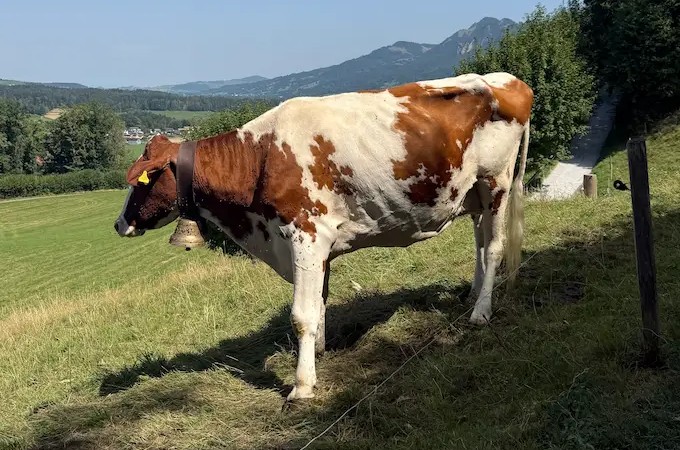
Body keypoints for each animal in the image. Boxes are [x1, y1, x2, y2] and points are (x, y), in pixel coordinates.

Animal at [114, 72, 533, 401]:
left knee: (494, 248)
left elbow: (302, 314)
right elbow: (318, 305)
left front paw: (302, 385)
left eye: (141, 182)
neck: (261, 156)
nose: (119, 224)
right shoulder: (314, 246)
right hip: (473, 193)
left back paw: (481, 312)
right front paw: (319, 354)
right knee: (480, 243)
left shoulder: (306, 234)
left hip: (496, 182)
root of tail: (507, 79)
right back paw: (471, 297)